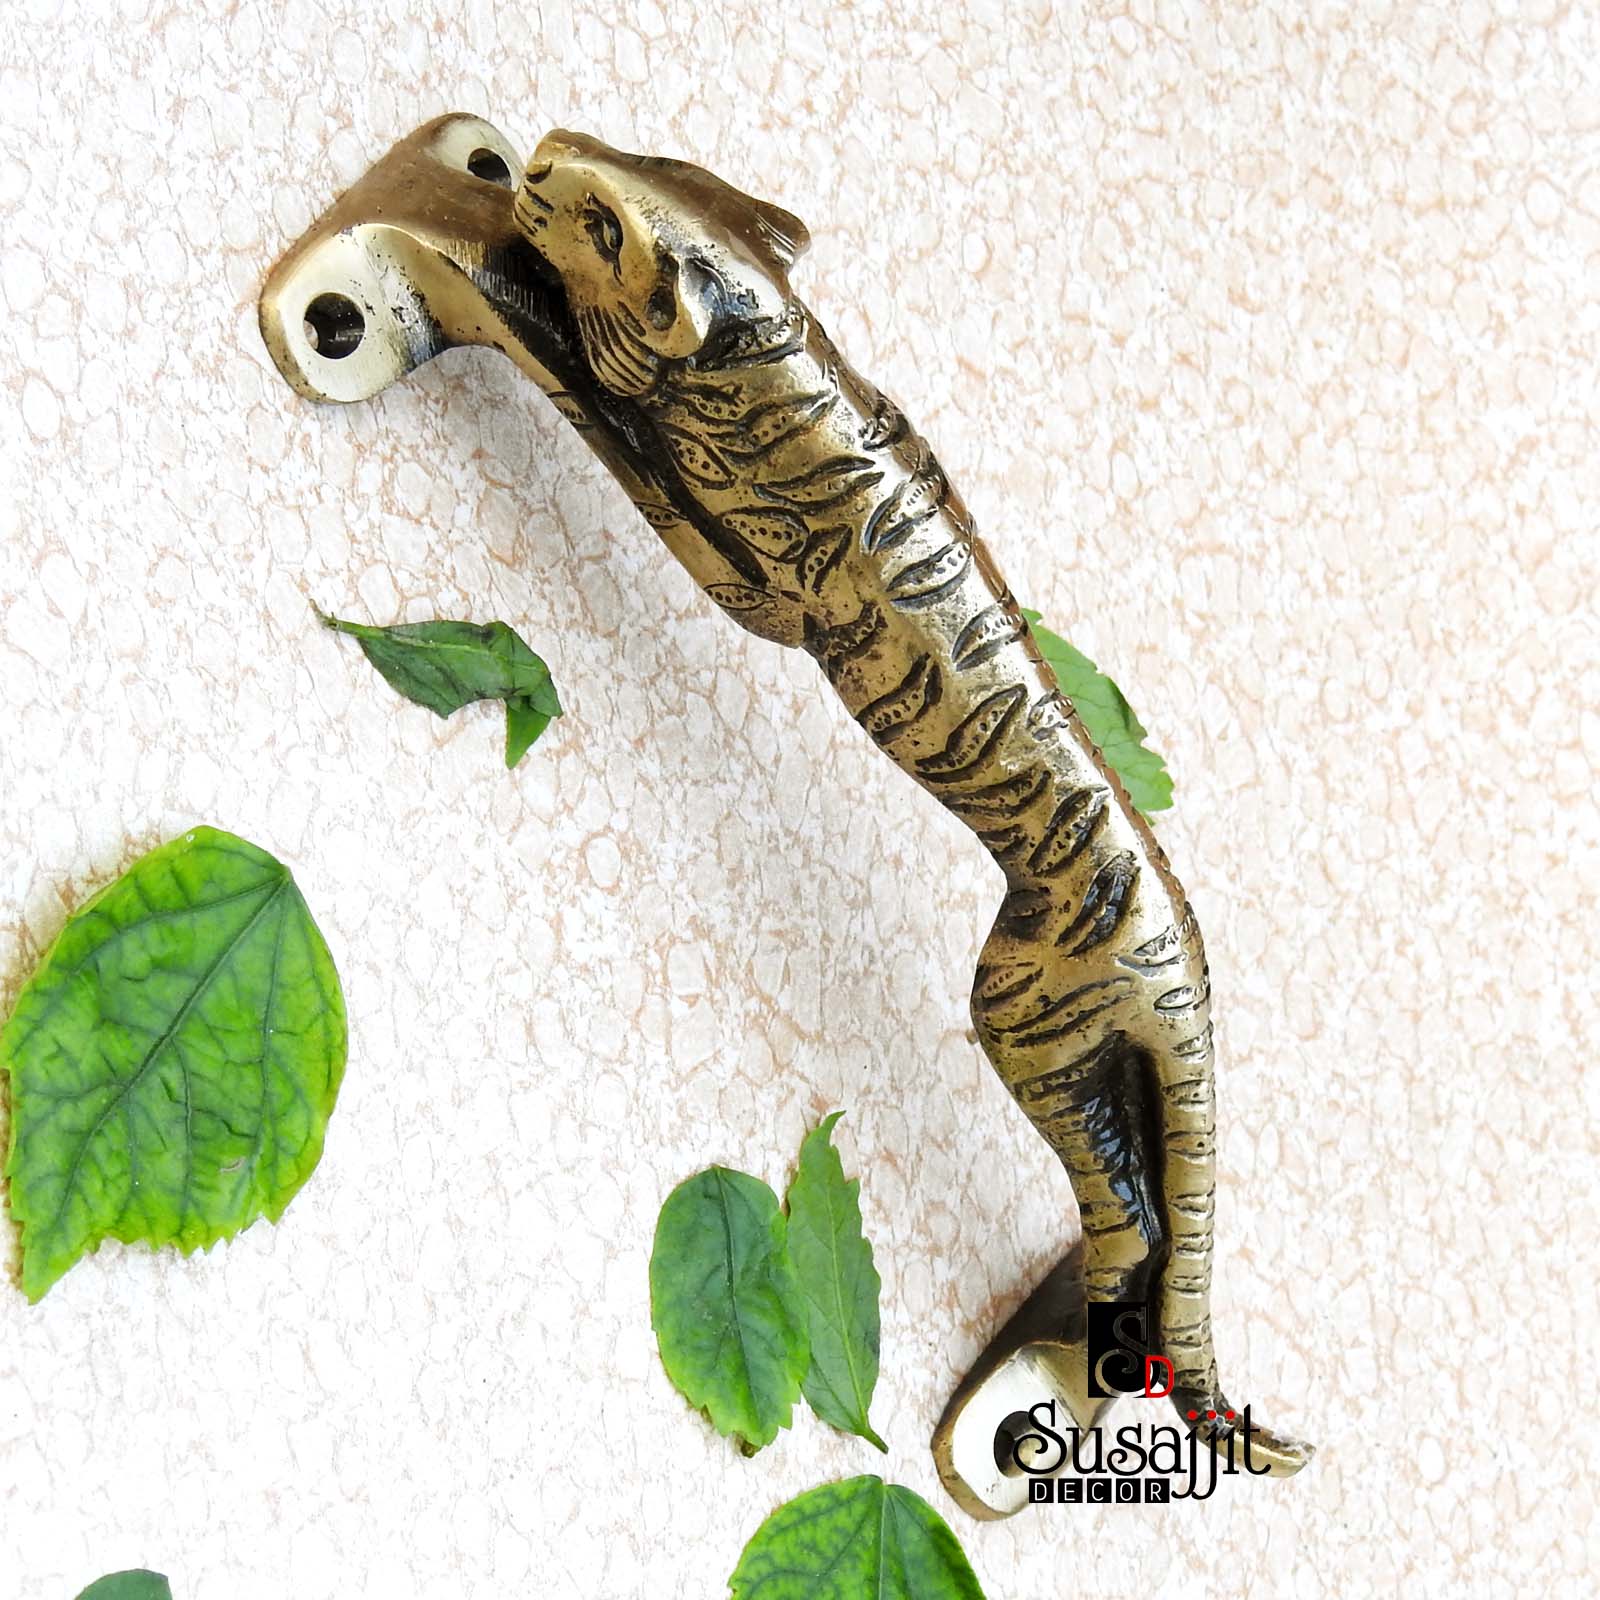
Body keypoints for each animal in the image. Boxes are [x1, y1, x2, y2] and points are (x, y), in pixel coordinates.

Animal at [513, 129, 1311, 1477]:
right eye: (640, 157)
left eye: (602, 218)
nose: (541, 157)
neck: (773, 359)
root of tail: (1180, 965)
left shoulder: (765, 590)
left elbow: (626, 442)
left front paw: (558, 339)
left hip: (1030, 1026)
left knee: (1134, 1222)